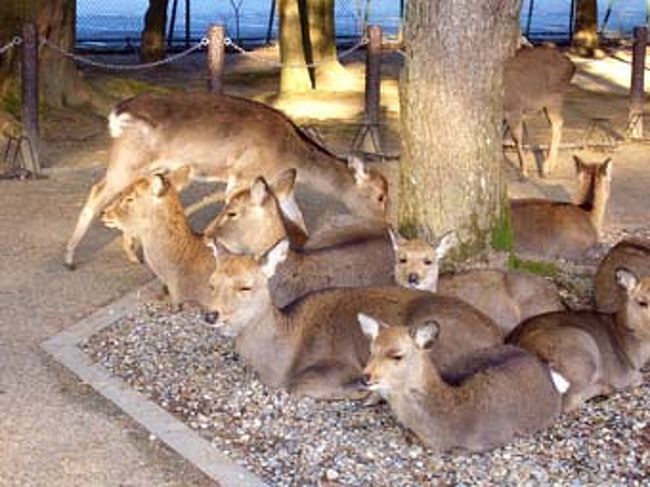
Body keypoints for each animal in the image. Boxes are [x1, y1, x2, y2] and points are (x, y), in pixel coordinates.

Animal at [63, 91, 388, 269]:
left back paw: (133, 254)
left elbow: (296, 218)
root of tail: (116, 114)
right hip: (126, 161)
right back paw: (69, 258)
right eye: (380, 196)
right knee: (96, 192)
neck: (290, 155)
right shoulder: (243, 175)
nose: (386, 225)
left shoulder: (281, 186)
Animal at [202, 239, 502, 400]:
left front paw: (362, 392)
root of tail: (499, 337)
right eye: (212, 283)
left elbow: (300, 385)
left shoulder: (339, 363)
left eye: (245, 286)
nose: (210, 314)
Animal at [504, 45, 576, 178]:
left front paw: (524, 171)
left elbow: (516, 137)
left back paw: (546, 167)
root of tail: (572, 65)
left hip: (554, 98)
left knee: (557, 123)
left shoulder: (514, 108)